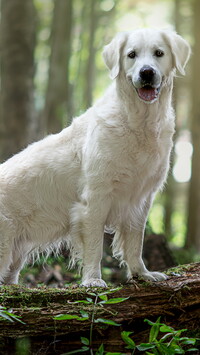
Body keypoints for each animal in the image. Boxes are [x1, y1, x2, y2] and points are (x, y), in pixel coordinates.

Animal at [0, 29, 191, 288]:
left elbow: (136, 242)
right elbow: (95, 246)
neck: (138, 122)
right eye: (132, 55)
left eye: (159, 53)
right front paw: (92, 279)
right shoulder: (95, 199)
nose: (146, 72)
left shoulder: (140, 200)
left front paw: (142, 273)